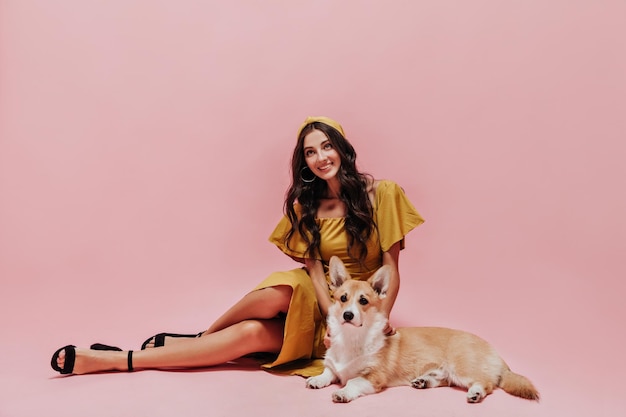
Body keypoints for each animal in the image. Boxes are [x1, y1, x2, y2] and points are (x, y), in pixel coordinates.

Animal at [304, 255, 540, 402]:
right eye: (343, 298)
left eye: (363, 301)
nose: (348, 315)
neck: (352, 338)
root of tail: (496, 353)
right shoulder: (333, 367)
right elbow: (328, 373)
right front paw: (316, 380)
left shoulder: (373, 377)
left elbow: (352, 382)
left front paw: (342, 393)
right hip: (447, 373)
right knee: (444, 380)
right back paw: (423, 381)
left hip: (462, 368)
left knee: (487, 383)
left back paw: (475, 393)